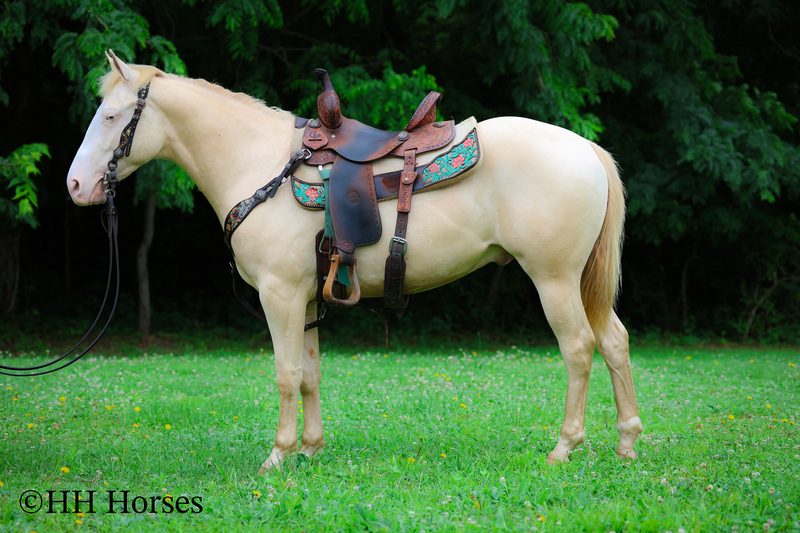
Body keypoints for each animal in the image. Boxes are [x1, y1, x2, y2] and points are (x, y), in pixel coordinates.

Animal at [67, 51, 643, 474]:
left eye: (112, 116)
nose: (75, 185)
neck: (258, 163)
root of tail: (587, 149)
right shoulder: (303, 299)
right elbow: (310, 374)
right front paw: (310, 449)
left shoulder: (279, 295)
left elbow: (285, 373)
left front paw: (277, 456)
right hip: (580, 282)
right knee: (614, 342)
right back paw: (627, 443)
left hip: (555, 280)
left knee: (579, 349)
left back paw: (564, 448)